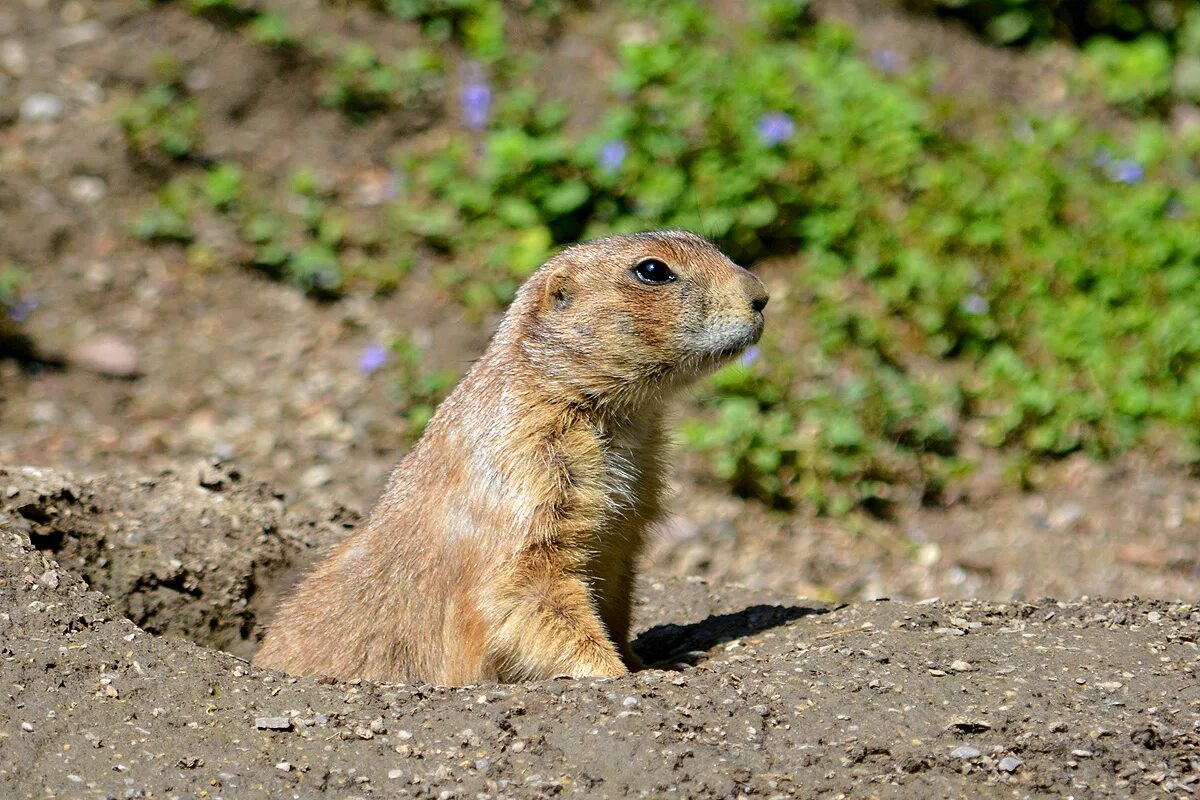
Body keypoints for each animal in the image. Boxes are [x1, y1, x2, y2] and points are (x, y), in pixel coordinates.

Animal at [258, 227, 772, 686]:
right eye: (652, 270)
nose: (762, 296)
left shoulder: (624, 532)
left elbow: (613, 595)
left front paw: (657, 660)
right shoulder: (522, 474)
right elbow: (523, 589)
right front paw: (615, 672)